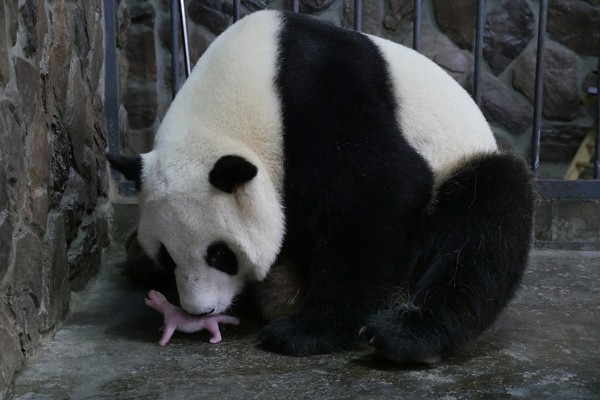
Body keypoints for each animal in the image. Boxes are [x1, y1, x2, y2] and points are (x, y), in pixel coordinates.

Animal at [108, 10, 536, 362]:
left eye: (219, 255)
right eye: (167, 256)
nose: (201, 311)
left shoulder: (322, 95)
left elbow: (381, 193)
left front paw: (304, 333)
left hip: (460, 167)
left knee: (487, 218)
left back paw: (405, 336)